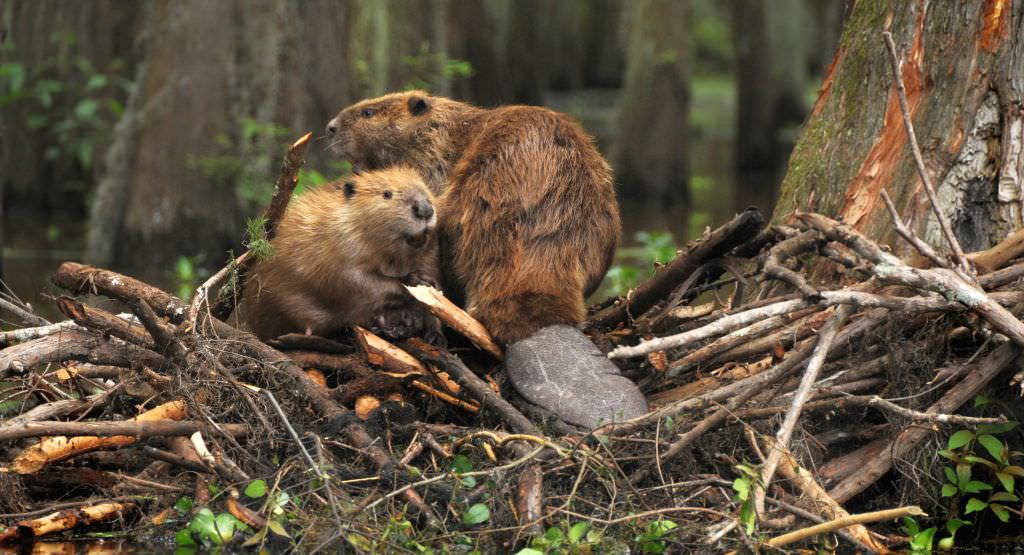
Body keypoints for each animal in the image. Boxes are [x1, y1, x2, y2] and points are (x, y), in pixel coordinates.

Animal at [247, 165, 444, 342]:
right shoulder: (339, 243)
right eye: (387, 194)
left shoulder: (430, 255)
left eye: (425, 188)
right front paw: (414, 280)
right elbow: (353, 279)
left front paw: (434, 333)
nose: (425, 209)